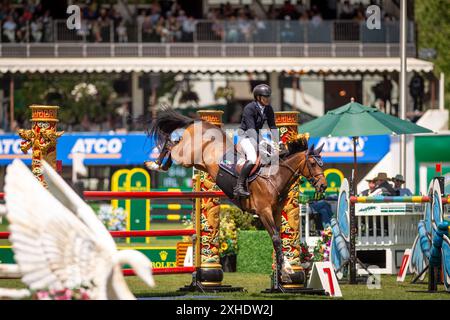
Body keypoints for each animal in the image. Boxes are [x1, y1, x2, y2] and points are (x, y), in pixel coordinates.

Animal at [146, 109, 326, 288]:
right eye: (312, 164)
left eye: (322, 164)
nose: (323, 186)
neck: (273, 177)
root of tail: (198, 122)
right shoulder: (264, 212)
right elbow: (275, 238)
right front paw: (287, 272)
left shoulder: (276, 212)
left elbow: (279, 240)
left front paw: (286, 272)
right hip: (186, 156)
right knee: (171, 144)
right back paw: (156, 164)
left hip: (195, 163)